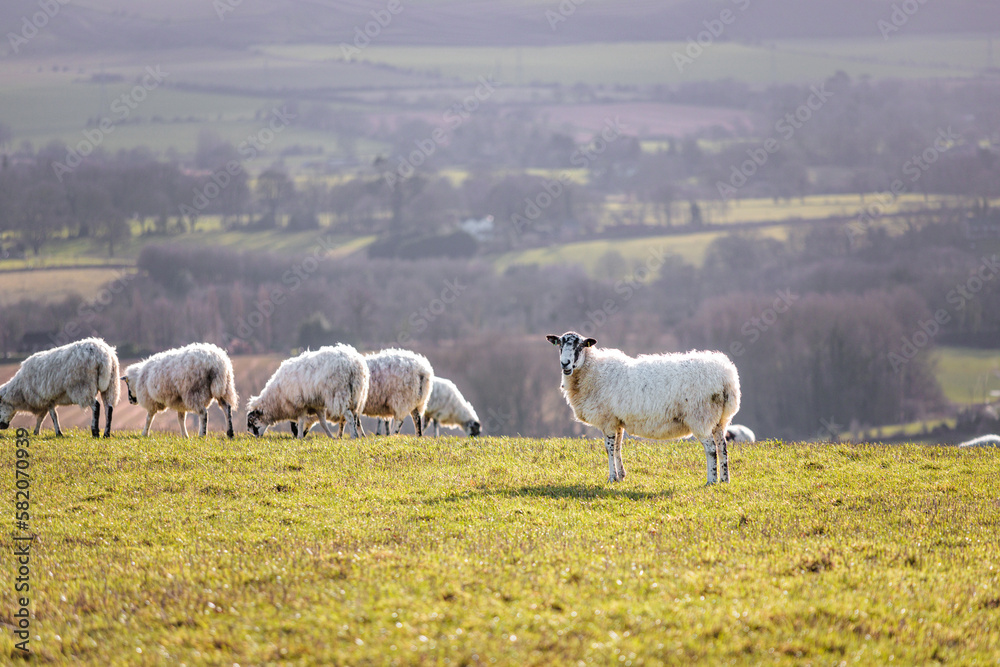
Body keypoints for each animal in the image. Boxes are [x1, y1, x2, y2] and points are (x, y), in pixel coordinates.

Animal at [546, 331, 741, 485]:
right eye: (560, 345)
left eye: (579, 346)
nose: (565, 363)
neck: (592, 371)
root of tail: (726, 375)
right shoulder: (617, 420)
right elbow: (618, 447)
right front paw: (621, 476)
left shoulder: (608, 420)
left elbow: (609, 448)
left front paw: (611, 478)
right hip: (719, 419)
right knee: (722, 447)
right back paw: (725, 480)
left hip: (700, 416)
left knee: (711, 449)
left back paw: (711, 481)